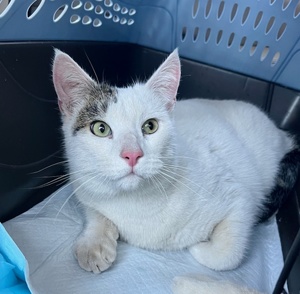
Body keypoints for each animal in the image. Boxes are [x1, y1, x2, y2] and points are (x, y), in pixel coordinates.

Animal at [51, 49, 298, 292]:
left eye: (150, 126)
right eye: (100, 129)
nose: (132, 154)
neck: (136, 203)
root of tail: (282, 133)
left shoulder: (238, 196)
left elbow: (227, 254)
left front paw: (199, 248)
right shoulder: (84, 188)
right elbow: (95, 211)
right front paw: (93, 245)